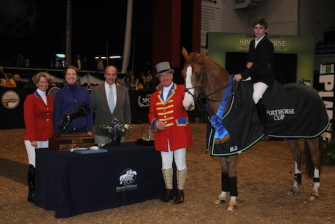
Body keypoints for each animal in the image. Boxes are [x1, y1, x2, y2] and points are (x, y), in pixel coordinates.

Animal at [181, 47, 328, 210]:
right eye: (182, 73)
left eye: (198, 74)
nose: (187, 104)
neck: (228, 100)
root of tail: (314, 92)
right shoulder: (221, 146)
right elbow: (224, 171)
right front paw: (222, 196)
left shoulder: (234, 145)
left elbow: (231, 171)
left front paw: (232, 200)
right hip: (292, 134)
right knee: (297, 155)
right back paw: (295, 187)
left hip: (312, 135)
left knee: (315, 158)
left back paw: (314, 191)